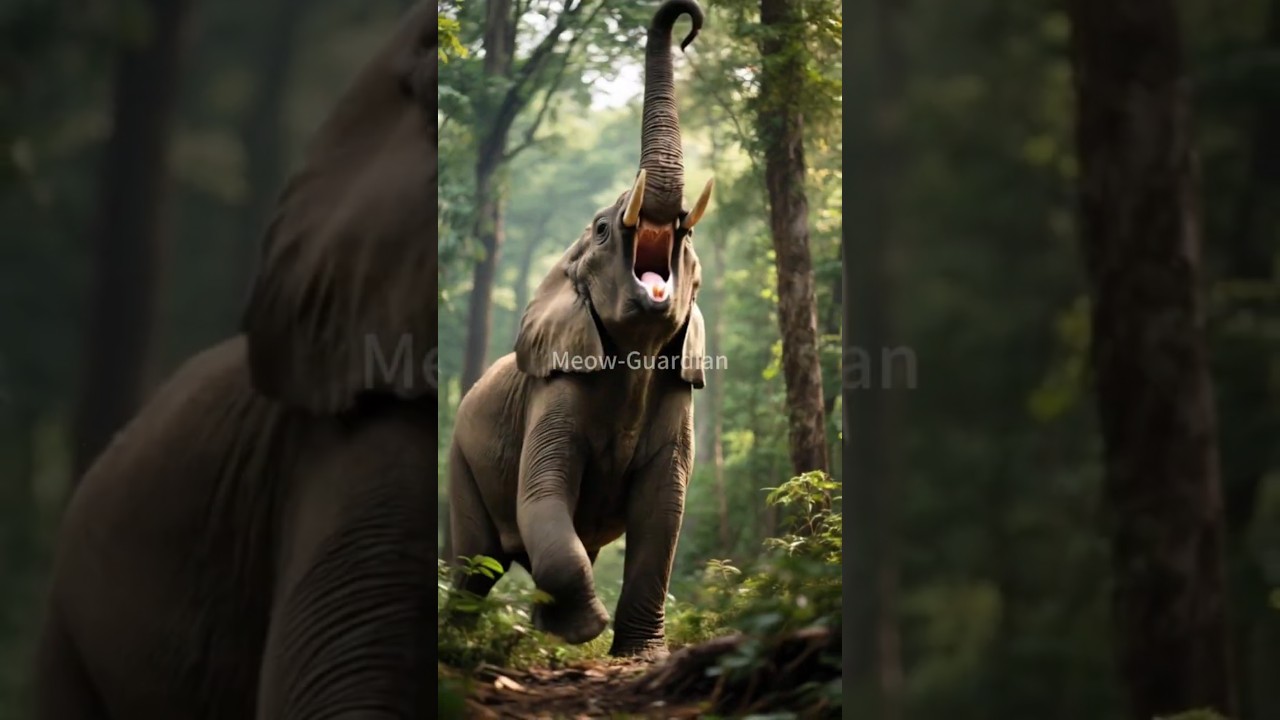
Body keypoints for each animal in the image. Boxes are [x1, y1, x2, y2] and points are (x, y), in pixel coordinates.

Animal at [445, 0, 714, 660]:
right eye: (599, 229)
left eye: (689, 236)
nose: (688, 28)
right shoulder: (555, 391)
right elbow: (542, 492)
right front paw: (582, 630)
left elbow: (663, 509)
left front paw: (637, 654)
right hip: (460, 460)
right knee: (474, 561)